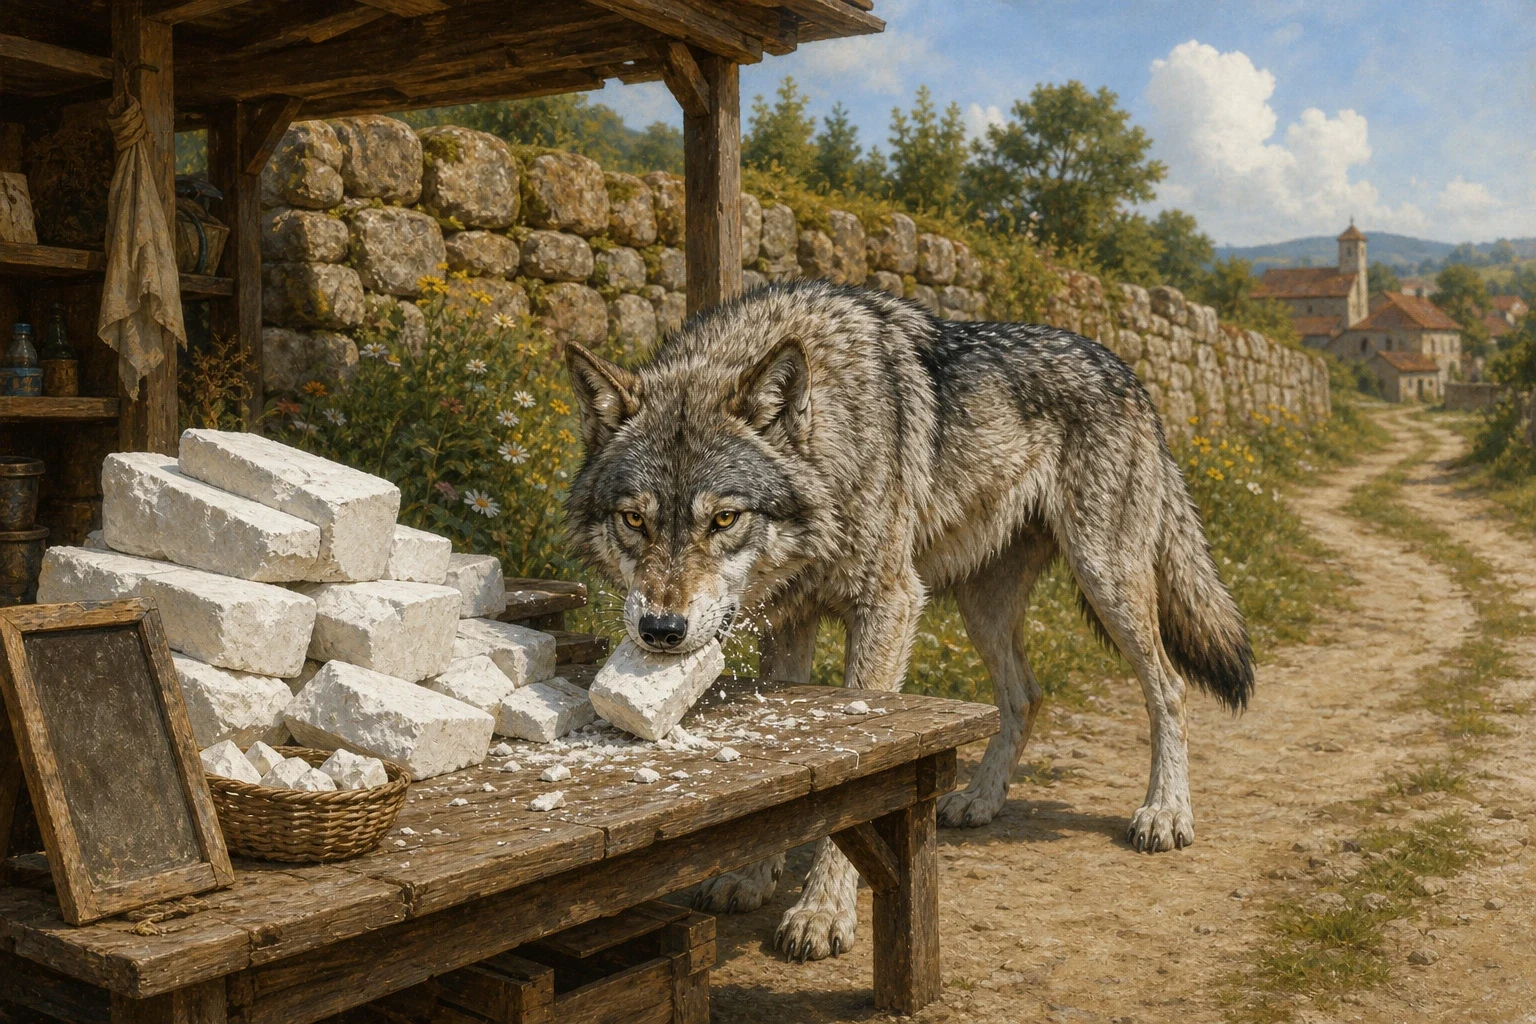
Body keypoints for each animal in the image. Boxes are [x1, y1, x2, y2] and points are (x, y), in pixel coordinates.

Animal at [563, 279, 1253, 961]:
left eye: (724, 519)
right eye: (634, 520)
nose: (661, 631)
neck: (836, 430)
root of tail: (1129, 374)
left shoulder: (889, 603)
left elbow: (856, 781)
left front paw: (821, 912)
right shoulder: (792, 620)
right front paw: (752, 877)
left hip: (1106, 582)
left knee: (1169, 687)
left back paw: (1165, 814)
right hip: (983, 610)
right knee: (1026, 696)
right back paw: (980, 799)